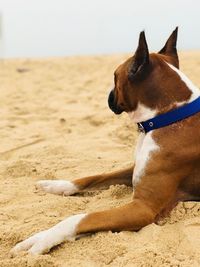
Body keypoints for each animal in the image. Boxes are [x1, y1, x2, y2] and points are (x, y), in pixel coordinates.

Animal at [10, 27, 200, 255]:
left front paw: (42, 238)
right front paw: (57, 185)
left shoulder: (142, 208)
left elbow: (81, 218)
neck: (170, 116)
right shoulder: (135, 170)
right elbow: (94, 177)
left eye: (114, 76)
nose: (108, 95)